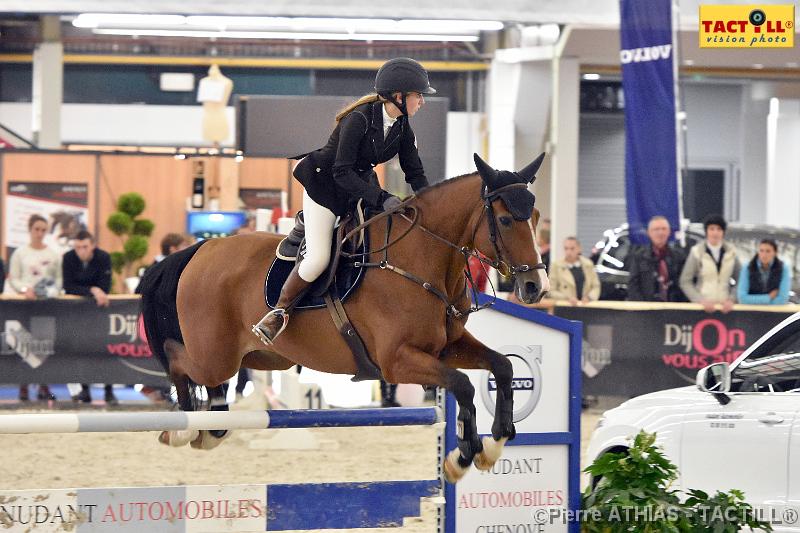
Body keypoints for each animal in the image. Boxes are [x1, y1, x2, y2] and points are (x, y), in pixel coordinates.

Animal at [138, 153, 552, 482]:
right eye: (505, 219)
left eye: (534, 216)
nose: (536, 286)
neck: (421, 261)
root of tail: (200, 249)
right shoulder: (397, 361)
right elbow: (463, 386)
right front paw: (461, 457)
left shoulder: (446, 347)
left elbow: (503, 367)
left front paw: (494, 446)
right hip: (215, 355)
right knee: (181, 362)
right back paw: (180, 429)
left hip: (263, 355)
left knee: (215, 385)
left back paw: (210, 428)